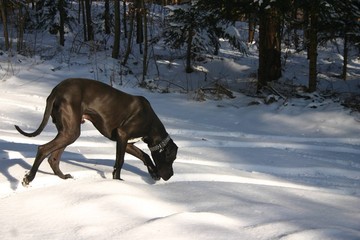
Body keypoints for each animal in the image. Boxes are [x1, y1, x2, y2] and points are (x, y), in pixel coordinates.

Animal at [14, 78, 178, 185]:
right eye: (171, 159)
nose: (171, 175)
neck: (150, 122)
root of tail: (57, 89)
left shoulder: (126, 142)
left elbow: (145, 155)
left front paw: (154, 172)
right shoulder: (122, 134)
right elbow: (120, 162)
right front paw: (118, 181)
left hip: (67, 131)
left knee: (53, 158)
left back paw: (63, 177)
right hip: (71, 132)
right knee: (43, 149)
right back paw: (30, 178)